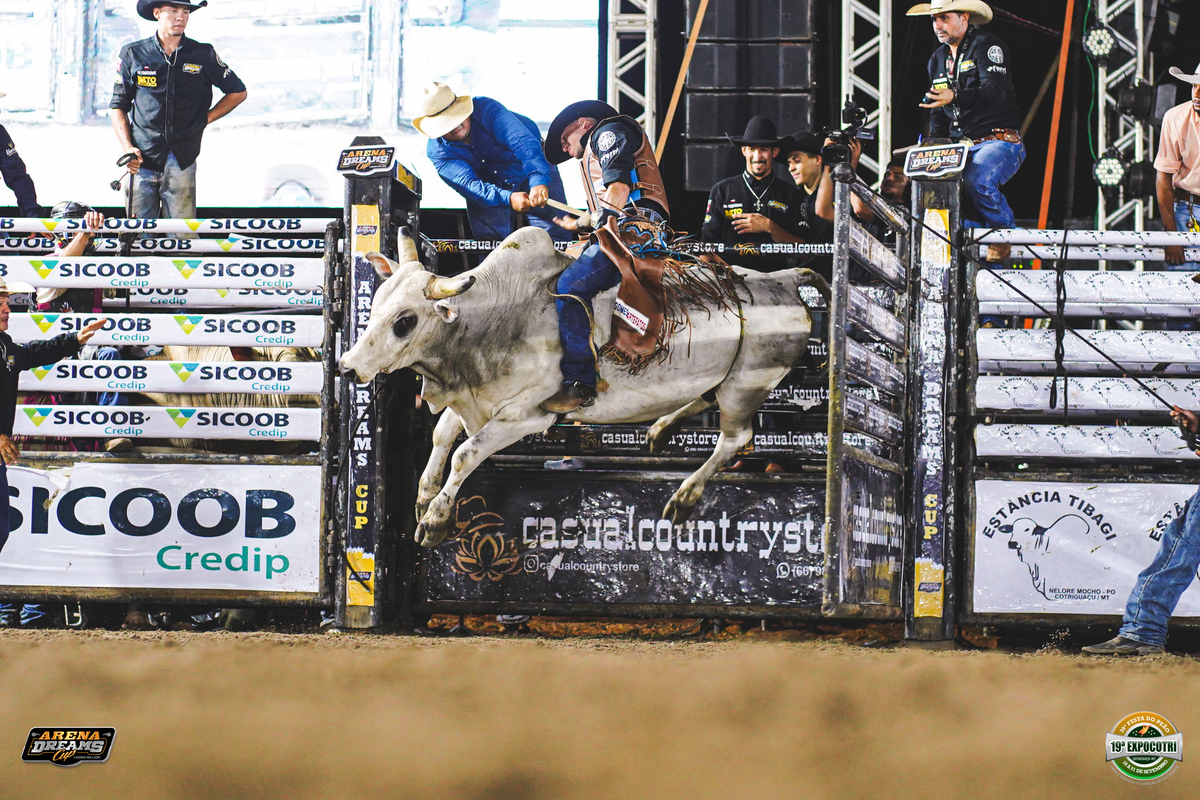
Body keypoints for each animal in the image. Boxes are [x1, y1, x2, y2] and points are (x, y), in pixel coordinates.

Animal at [339, 226, 827, 547]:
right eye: (376, 301)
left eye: (405, 321)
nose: (346, 367)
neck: (495, 317)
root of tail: (783, 280)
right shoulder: (474, 399)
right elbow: (442, 436)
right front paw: (423, 497)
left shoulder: (525, 416)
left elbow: (465, 453)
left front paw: (436, 520)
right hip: (726, 381)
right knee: (707, 404)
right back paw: (662, 429)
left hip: (746, 384)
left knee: (735, 438)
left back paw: (684, 497)